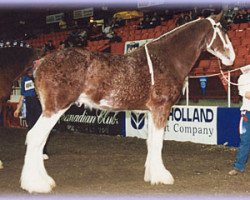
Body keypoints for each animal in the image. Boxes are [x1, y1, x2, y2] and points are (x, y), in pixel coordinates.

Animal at [20, 11, 235, 193]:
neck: (166, 59)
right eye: (223, 31)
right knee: (35, 137)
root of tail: (41, 63)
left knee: (40, 140)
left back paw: (42, 180)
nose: (231, 57)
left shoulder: (151, 111)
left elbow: (151, 142)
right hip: (55, 108)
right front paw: (162, 176)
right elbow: (158, 143)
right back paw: (36, 184)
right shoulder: (161, 109)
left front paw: (151, 174)